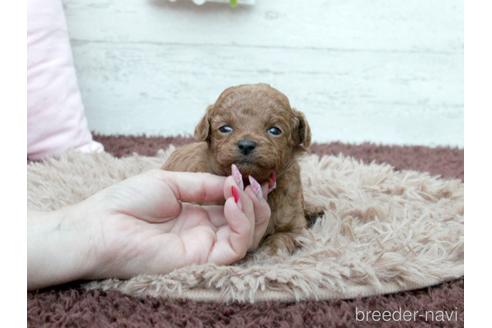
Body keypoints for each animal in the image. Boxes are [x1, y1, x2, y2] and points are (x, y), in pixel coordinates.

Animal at [161, 83, 316, 252]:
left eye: (275, 130)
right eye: (225, 129)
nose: (246, 145)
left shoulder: (296, 228)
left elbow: (281, 239)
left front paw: (271, 250)